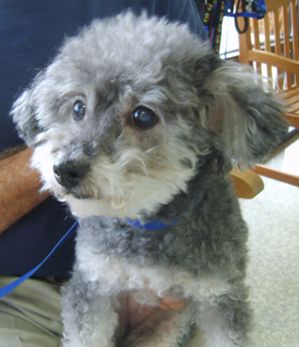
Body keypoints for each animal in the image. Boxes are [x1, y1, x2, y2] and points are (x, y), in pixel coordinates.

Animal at [11, 11, 288, 347]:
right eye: (78, 107)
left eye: (143, 116)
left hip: (168, 327)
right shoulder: (93, 286)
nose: (65, 170)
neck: (147, 225)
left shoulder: (221, 296)